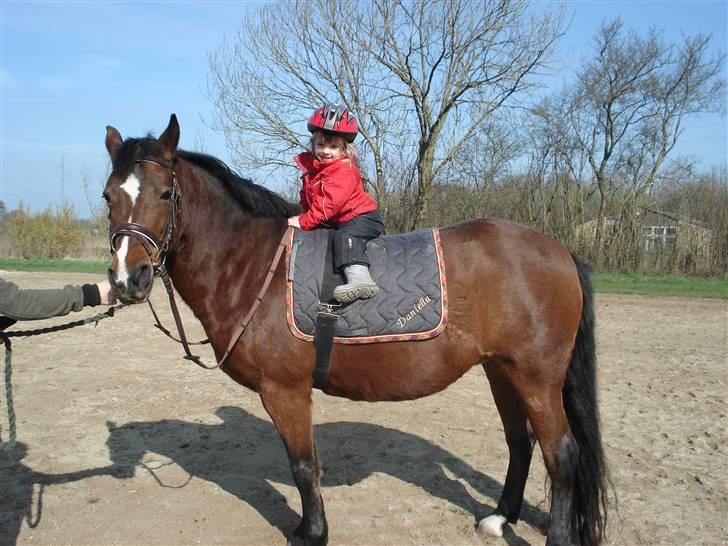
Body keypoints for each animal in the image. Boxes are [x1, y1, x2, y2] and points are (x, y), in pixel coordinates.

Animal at [99, 113, 604, 540]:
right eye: (108, 197)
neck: (253, 263)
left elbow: (304, 466)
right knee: (521, 442)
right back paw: (501, 519)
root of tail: (560, 250)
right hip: (502, 370)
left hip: (536, 377)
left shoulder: (285, 391)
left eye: (165, 194)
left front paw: (312, 533)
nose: (127, 279)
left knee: (561, 455)